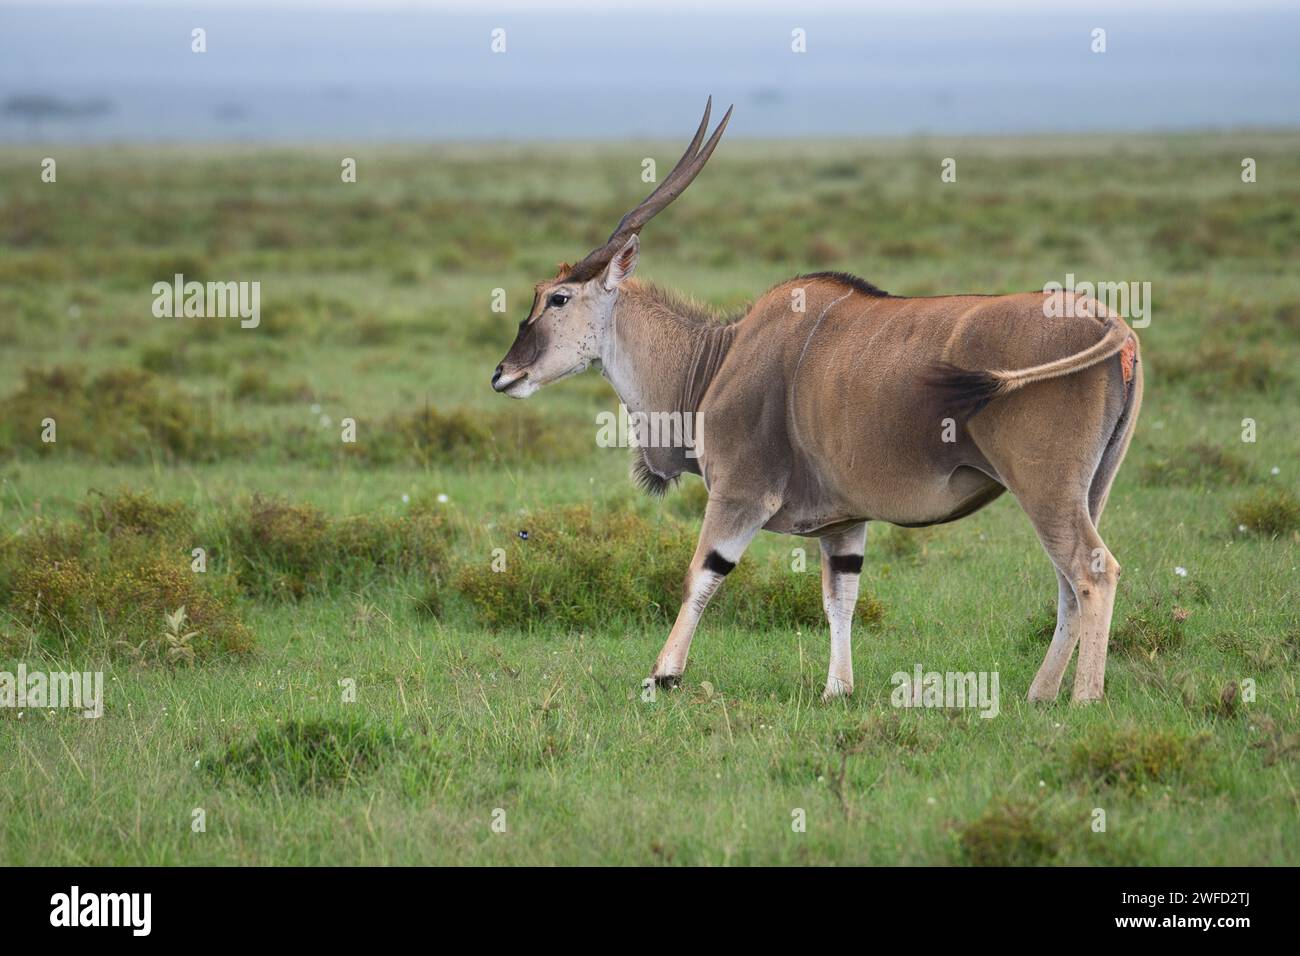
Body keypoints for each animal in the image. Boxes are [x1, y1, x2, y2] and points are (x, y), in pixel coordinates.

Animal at [491, 100, 1144, 707]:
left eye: (557, 297)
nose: (503, 374)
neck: (718, 358)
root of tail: (1108, 320)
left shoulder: (740, 495)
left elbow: (702, 574)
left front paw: (663, 675)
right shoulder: (844, 524)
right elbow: (840, 598)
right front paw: (837, 689)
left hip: (1044, 488)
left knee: (1092, 569)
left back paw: (1084, 699)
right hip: (1087, 489)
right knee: (1068, 581)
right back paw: (1040, 694)